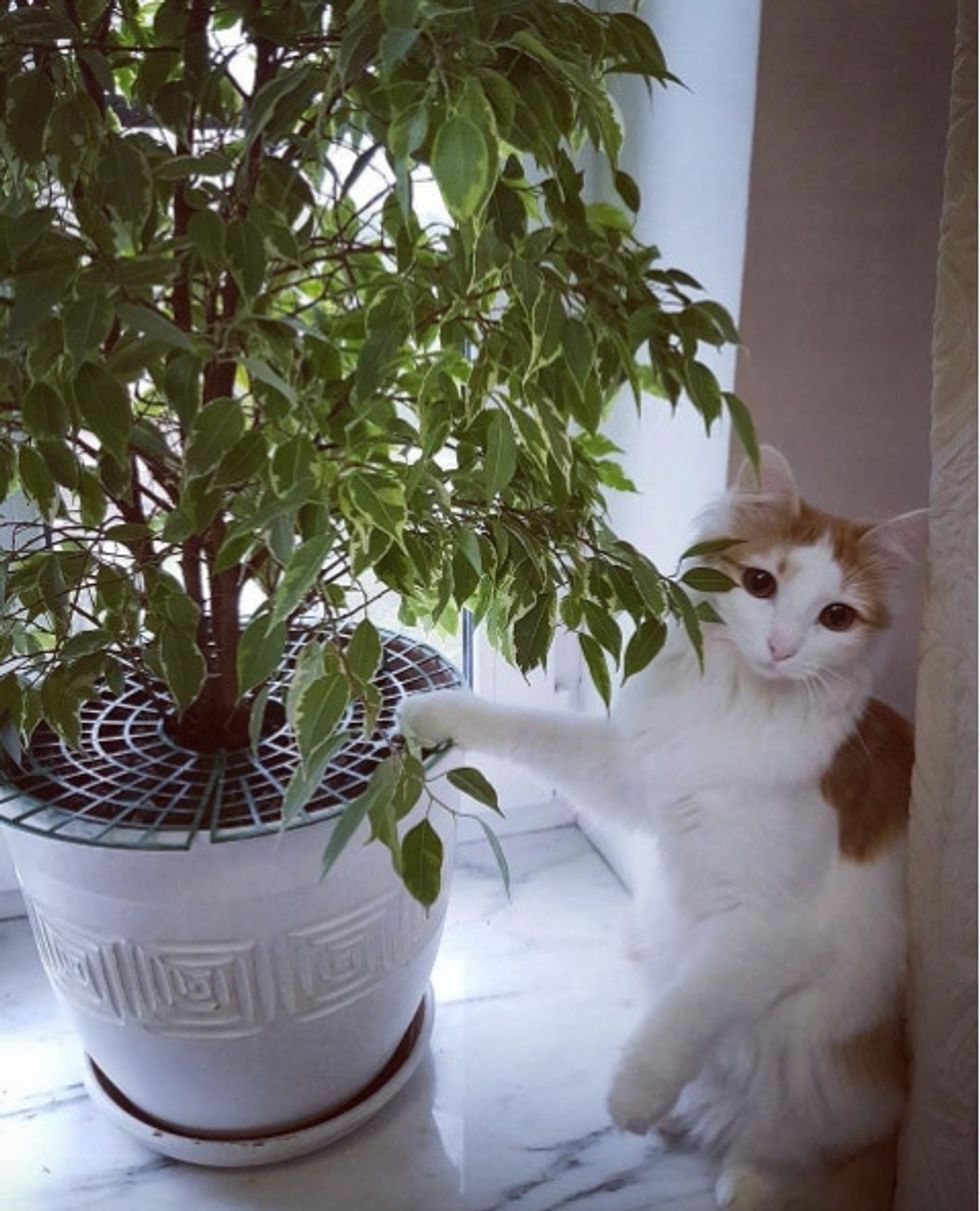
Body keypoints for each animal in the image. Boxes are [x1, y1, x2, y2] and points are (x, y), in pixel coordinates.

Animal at [399, 446, 927, 1211]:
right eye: (761, 583)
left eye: (836, 616)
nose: (779, 647)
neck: (740, 708)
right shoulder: (633, 769)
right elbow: (528, 729)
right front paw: (435, 711)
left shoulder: (766, 926)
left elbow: (687, 1007)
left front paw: (635, 1092)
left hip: (828, 1083)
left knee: (803, 1146)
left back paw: (746, 1175)